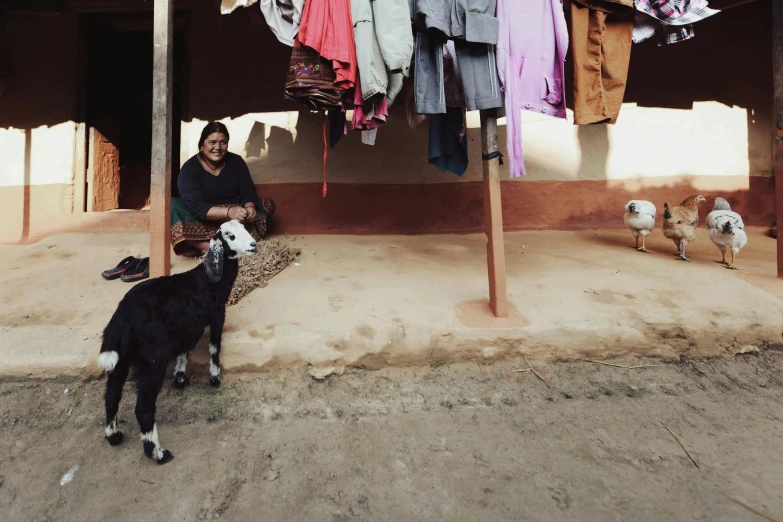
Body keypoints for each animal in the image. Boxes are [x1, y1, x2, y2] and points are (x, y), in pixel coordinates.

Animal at [96, 219, 258, 464]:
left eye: (245, 227)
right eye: (229, 236)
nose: (253, 245)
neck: (209, 279)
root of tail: (123, 316)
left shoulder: (188, 325)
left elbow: (185, 349)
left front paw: (180, 378)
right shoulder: (216, 314)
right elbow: (214, 347)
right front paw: (214, 378)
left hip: (120, 358)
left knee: (112, 395)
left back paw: (114, 436)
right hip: (153, 357)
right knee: (143, 407)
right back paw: (158, 453)